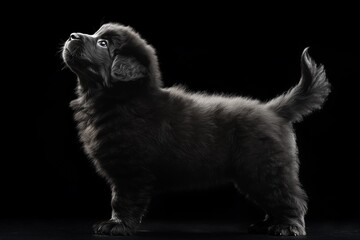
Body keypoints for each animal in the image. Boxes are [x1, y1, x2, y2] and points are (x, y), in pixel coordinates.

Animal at [61, 22, 330, 236]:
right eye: (96, 34)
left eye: (103, 43)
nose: (72, 35)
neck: (122, 100)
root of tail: (273, 110)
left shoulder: (132, 170)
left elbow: (121, 200)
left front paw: (116, 225)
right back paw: (267, 224)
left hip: (264, 167)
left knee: (289, 197)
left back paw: (288, 227)